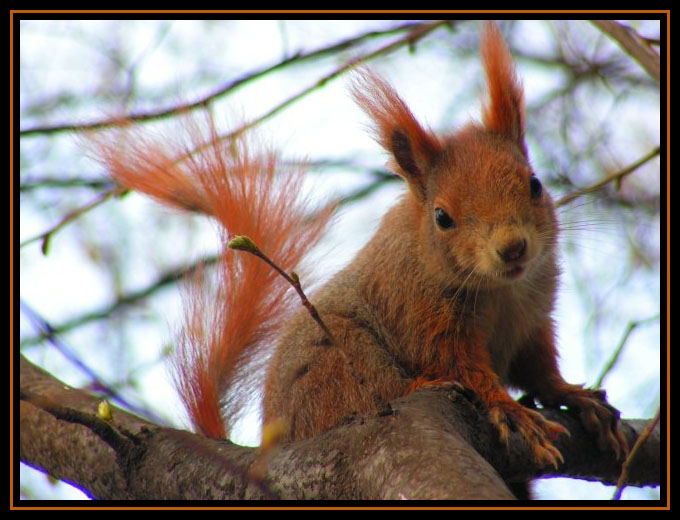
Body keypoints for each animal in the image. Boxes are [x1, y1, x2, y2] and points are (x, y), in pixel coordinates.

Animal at [90, 20, 628, 490]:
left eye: (534, 184)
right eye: (442, 217)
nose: (512, 247)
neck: (502, 289)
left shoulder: (533, 315)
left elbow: (538, 366)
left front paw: (572, 394)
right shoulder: (418, 310)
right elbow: (461, 365)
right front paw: (510, 409)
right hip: (337, 362)